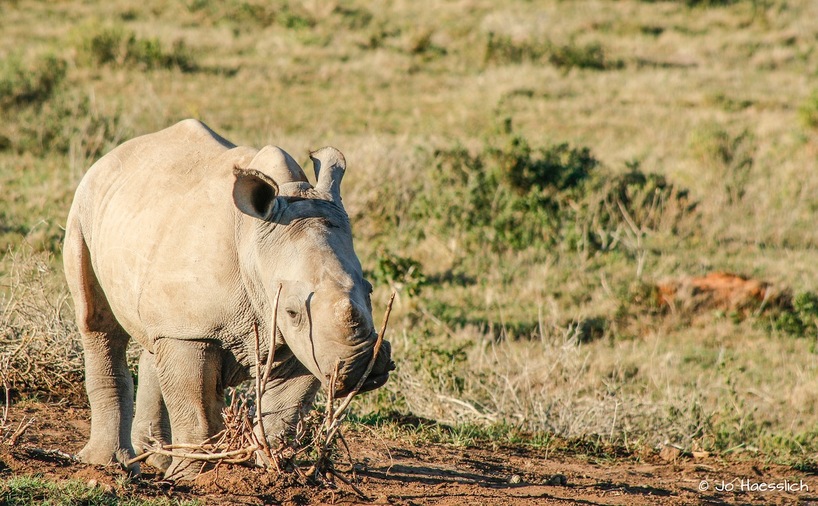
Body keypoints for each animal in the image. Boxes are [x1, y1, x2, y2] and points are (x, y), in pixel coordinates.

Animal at [63, 118, 392, 478]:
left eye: (370, 290)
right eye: (292, 311)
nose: (363, 366)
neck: (255, 240)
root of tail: (113, 155)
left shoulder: (311, 342)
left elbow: (286, 409)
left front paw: (273, 469)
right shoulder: (200, 331)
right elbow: (196, 406)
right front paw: (195, 477)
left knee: (155, 337)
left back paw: (155, 460)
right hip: (85, 203)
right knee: (98, 324)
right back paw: (109, 465)